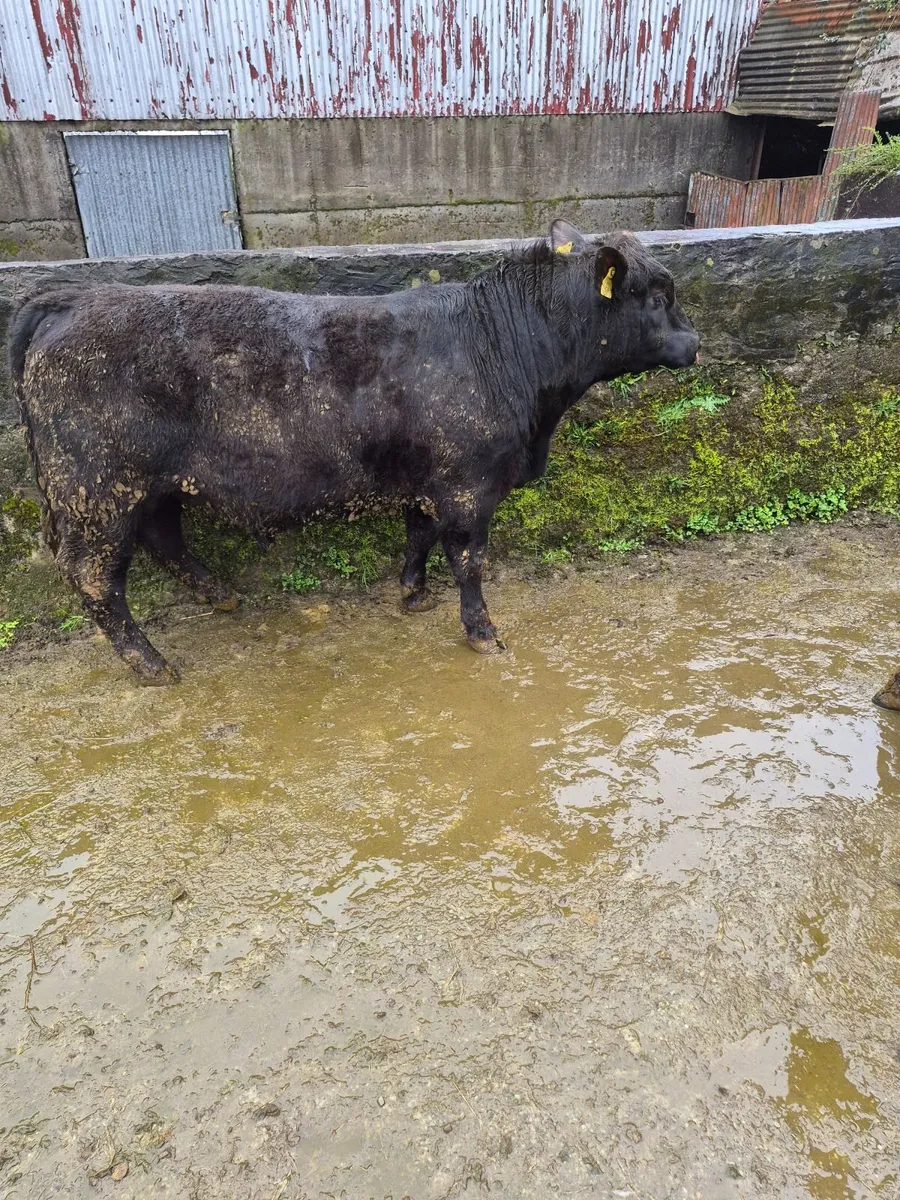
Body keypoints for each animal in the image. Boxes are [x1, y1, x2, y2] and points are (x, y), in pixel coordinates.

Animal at [8, 219, 700, 683]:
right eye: (656, 295)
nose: (695, 343)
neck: (498, 344)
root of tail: (77, 297)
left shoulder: (429, 478)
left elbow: (419, 533)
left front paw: (413, 593)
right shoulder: (468, 484)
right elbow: (468, 561)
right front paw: (482, 632)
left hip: (149, 485)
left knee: (162, 537)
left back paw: (218, 594)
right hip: (96, 490)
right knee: (95, 577)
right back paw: (150, 663)